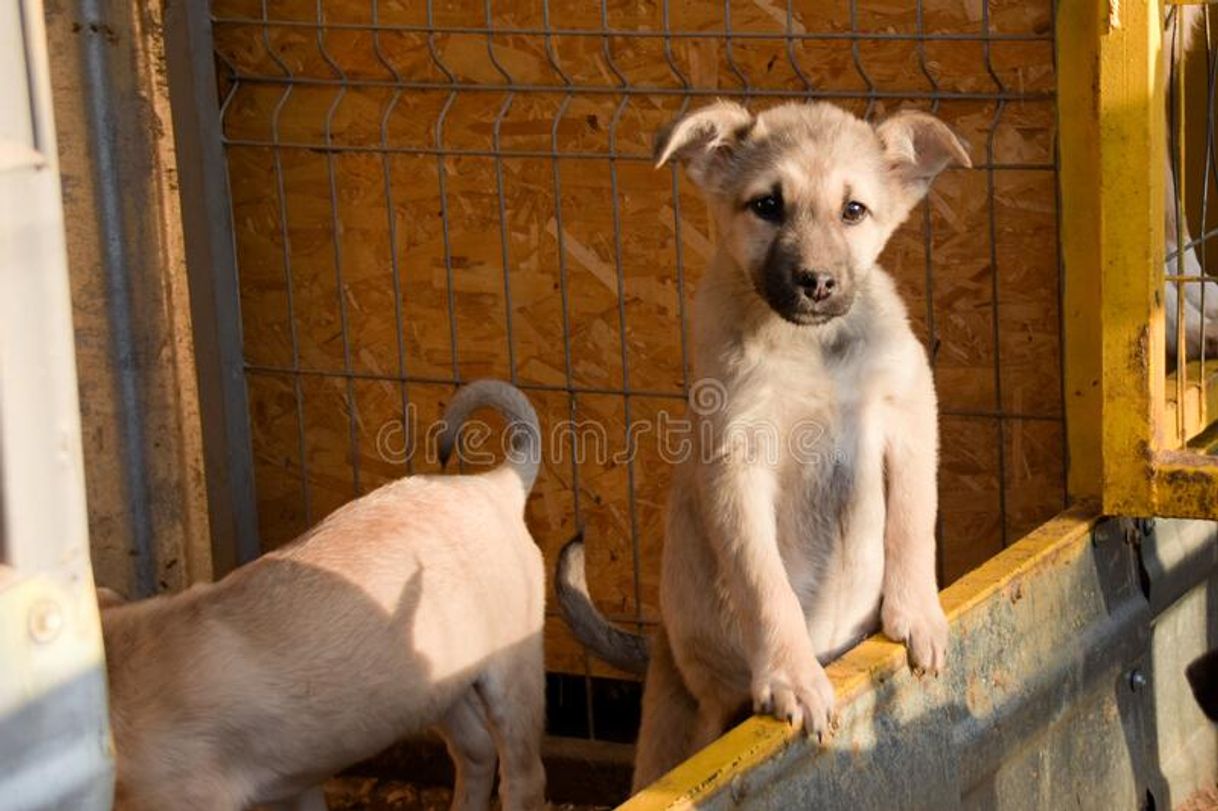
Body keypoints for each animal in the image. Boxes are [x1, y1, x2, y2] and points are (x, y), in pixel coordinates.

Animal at [99, 379, 548, 808]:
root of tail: (496, 485)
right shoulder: (296, 787)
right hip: (437, 684)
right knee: (476, 751)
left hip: (511, 676)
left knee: (524, 777)